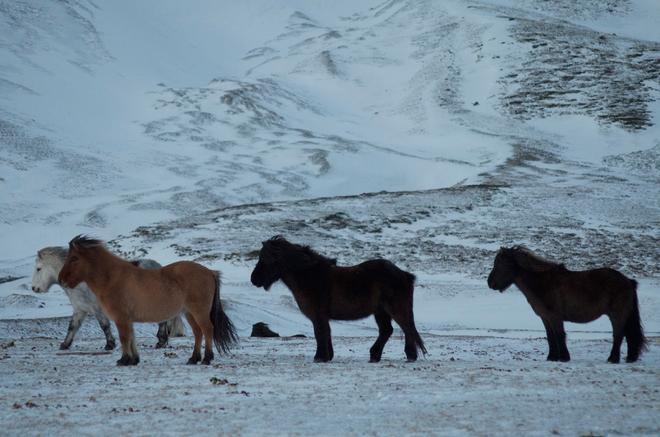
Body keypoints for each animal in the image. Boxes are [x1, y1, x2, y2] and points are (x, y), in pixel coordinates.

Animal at [32, 247, 184, 350]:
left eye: (38, 268)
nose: (34, 288)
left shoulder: (96, 308)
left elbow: (104, 325)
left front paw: (109, 344)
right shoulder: (80, 309)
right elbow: (72, 326)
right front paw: (65, 344)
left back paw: (161, 341)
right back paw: (161, 341)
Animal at [57, 235, 237, 364]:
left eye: (74, 258)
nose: (61, 279)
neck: (112, 278)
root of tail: (210, 272)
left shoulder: (121, 318)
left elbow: (124, 337)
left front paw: (124, 360)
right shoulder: (127, 319)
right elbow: (131, 337)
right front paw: (134, 360)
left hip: (199, 312)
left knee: (207, 330)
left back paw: (207, 358)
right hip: (189, 313)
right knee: (198, 332)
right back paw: (194, 358)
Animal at [249, 235, 428, 362]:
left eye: (265, 259)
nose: (254, 279)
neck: (309, 276)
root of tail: (405, 275)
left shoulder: (318, 316)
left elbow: (320, 333)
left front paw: (320, 357)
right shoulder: (322, 317)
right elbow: (326, 333)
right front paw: (328, 356)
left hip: (394, 310)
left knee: (406, 329)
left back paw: (409, 356)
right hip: (381, 312)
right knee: (388, 331)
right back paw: (375, 356)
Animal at [488, 245, 648, 362]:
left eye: (501, 263)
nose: (490, 283)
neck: (542, 283)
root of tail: (628, 281)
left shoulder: (555, 317)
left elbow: (559, 335)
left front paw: (564, 357)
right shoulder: (545, 318)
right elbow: (550, 336)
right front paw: (552, 357)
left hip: (617, 315)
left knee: (618, 335)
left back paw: (612, 359)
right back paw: (629, 358)